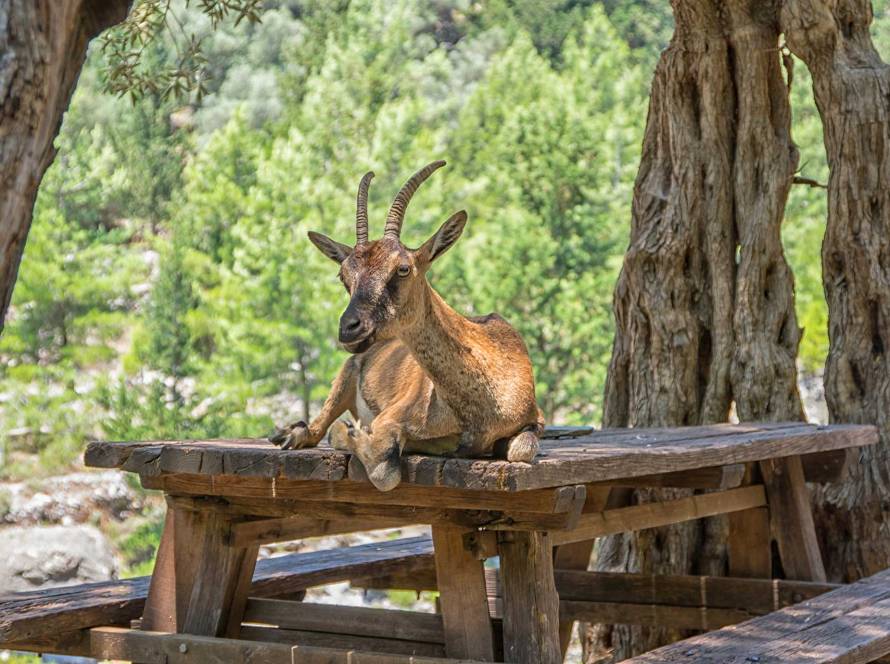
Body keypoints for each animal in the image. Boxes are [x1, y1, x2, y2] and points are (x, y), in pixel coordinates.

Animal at [270, 161, 543, 491]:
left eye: (402, 268)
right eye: (344, 276)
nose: (349, 327)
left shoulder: (534, 420)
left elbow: (522, 450)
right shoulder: (391, 417)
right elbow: (384, 470)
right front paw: (349, 433)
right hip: (346, 374)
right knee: (316, 427)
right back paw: (291, 433)